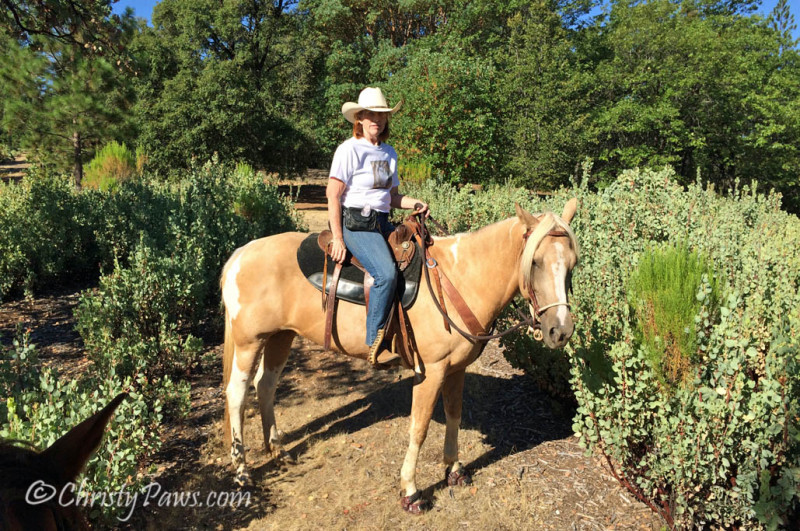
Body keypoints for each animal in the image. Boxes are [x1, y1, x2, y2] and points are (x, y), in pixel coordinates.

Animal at [222, 200, 580, 512]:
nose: (560, 330)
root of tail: (241, 253)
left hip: (281, 336)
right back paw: (242, 471)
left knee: (265, 386)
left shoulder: (456, 370)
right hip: (249, 341)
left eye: (572, 265)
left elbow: (454, 415)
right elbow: (419, 428)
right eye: (535, 262)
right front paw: (410, 491)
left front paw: (453, 469)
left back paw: (278, 450)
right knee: (237, 394)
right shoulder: (431, 371)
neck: (459, 279)